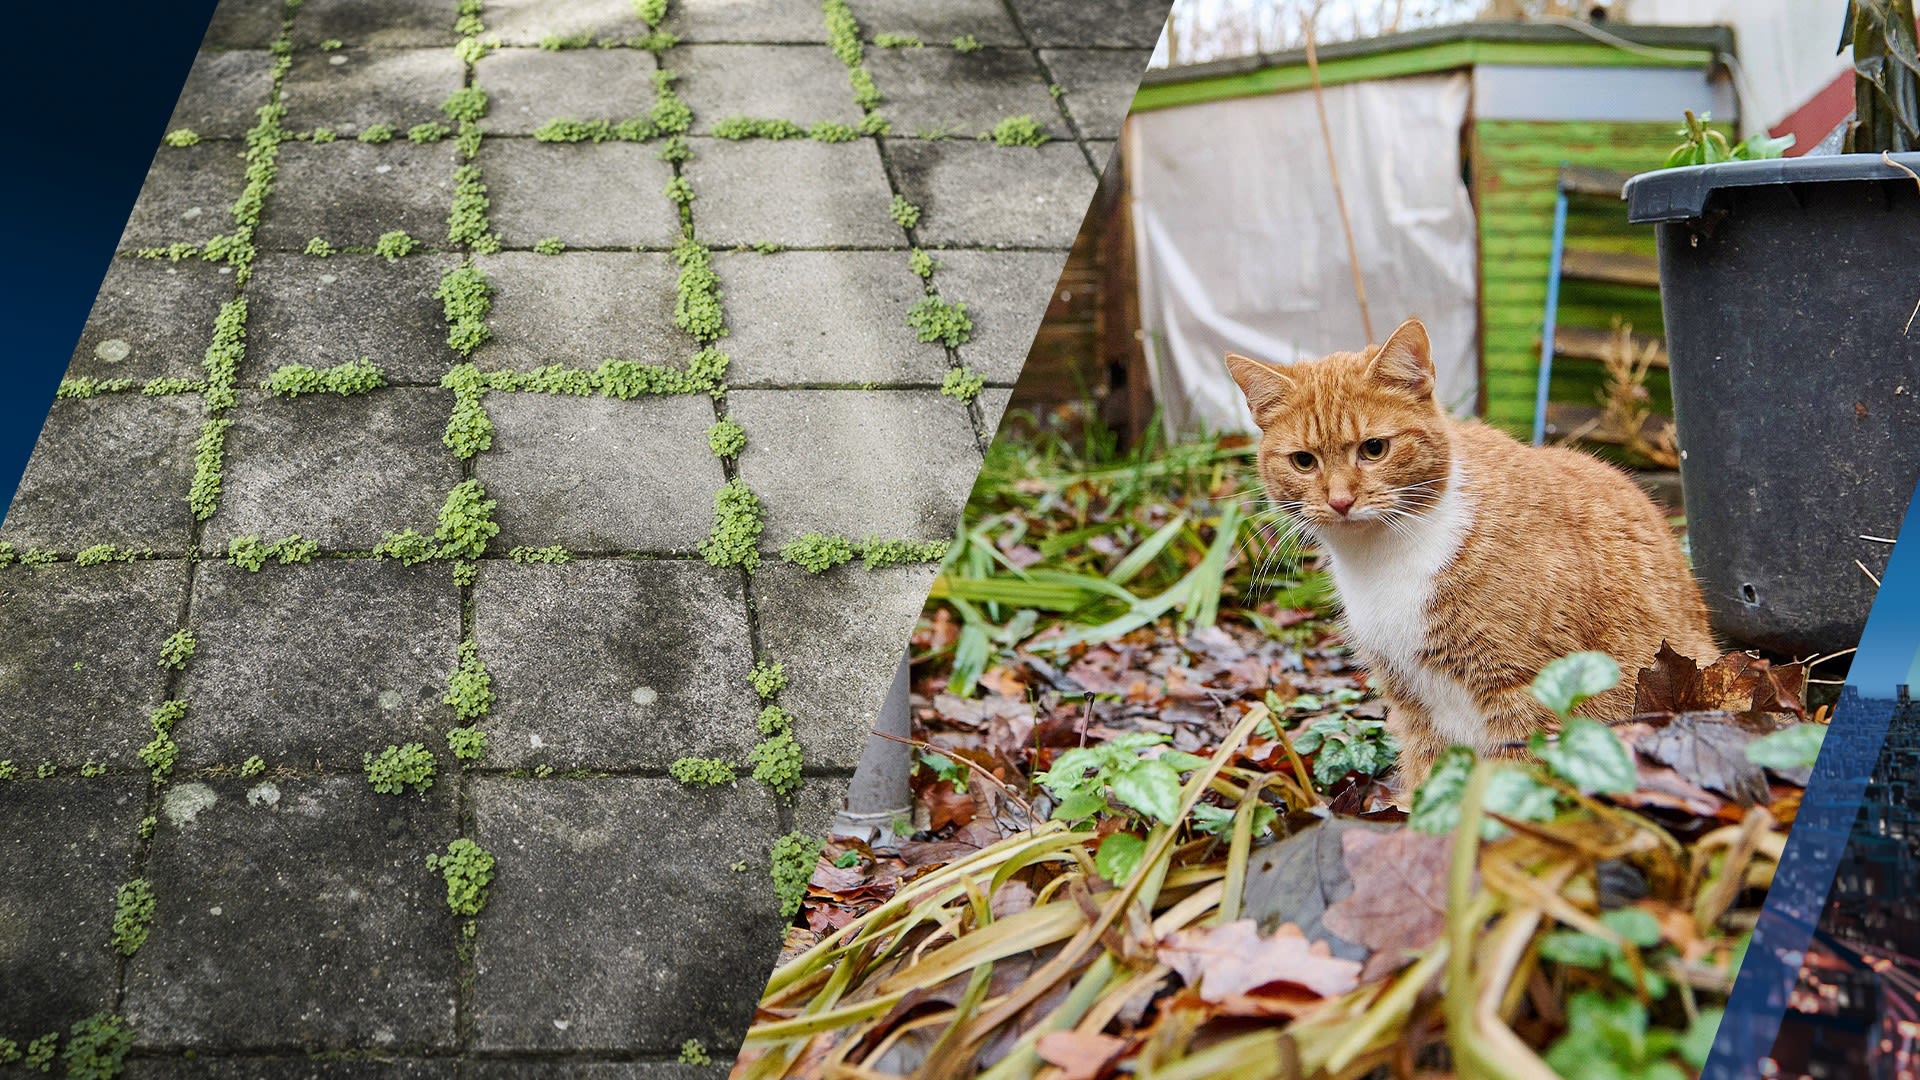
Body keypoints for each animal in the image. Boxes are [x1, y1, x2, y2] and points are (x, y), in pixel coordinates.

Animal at [1236, 315, 1720, 787]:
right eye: (1303, 461)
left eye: (1374, 449)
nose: (1339, 501)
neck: (1381, 561)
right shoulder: (1413, 707)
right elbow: (1425, 782)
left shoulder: (1526, 692)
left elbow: (1513, 783)